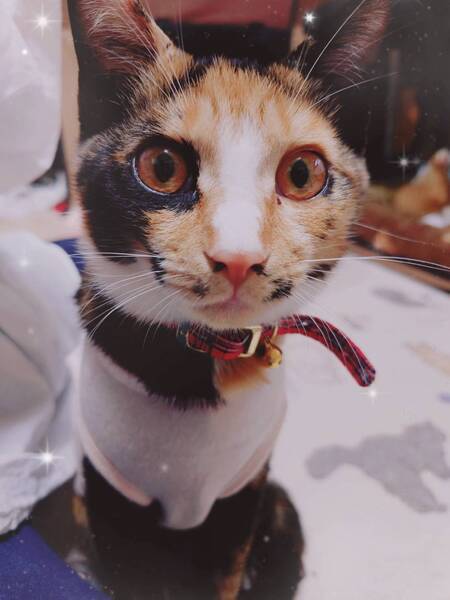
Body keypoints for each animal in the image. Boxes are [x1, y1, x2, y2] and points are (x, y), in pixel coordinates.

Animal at [69, 1, 389, 598]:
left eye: (303, 173)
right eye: (162, 167)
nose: (237, 258)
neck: (202, 366)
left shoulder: (244, 491)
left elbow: (225, 571)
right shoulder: (110, 490)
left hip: (280, 512)